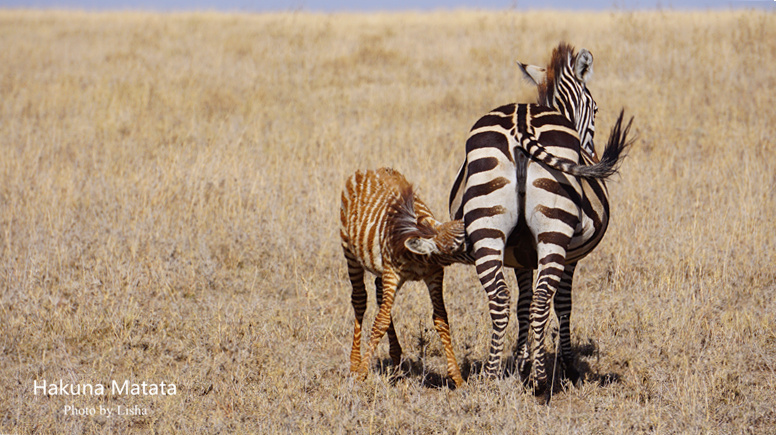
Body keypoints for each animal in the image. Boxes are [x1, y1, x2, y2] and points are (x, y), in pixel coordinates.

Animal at [342, 168, 466, 388]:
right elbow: (380, 322)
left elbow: (441, 319)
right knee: (359, 300)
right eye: (457, 245)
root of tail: (369, 170)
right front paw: (362, 373)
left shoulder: (434, 274)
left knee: (379, 294)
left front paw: (457, 378)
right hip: (350, 253)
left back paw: (395, 356)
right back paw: (355, 363)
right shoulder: (392, 273)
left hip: (380, 270)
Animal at [446, 42, 632, 400]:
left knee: (500, 298)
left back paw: (492, 376)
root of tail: (521, 124)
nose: (590, 150)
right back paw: (541, 382)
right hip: (555, 230)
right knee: (546, 297)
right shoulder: (571, 256)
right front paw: (566, 367)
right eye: (596, 109)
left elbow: (523, 302)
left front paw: (521, 361)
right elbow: (562, 304)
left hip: (486, 228)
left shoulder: (519, 255)